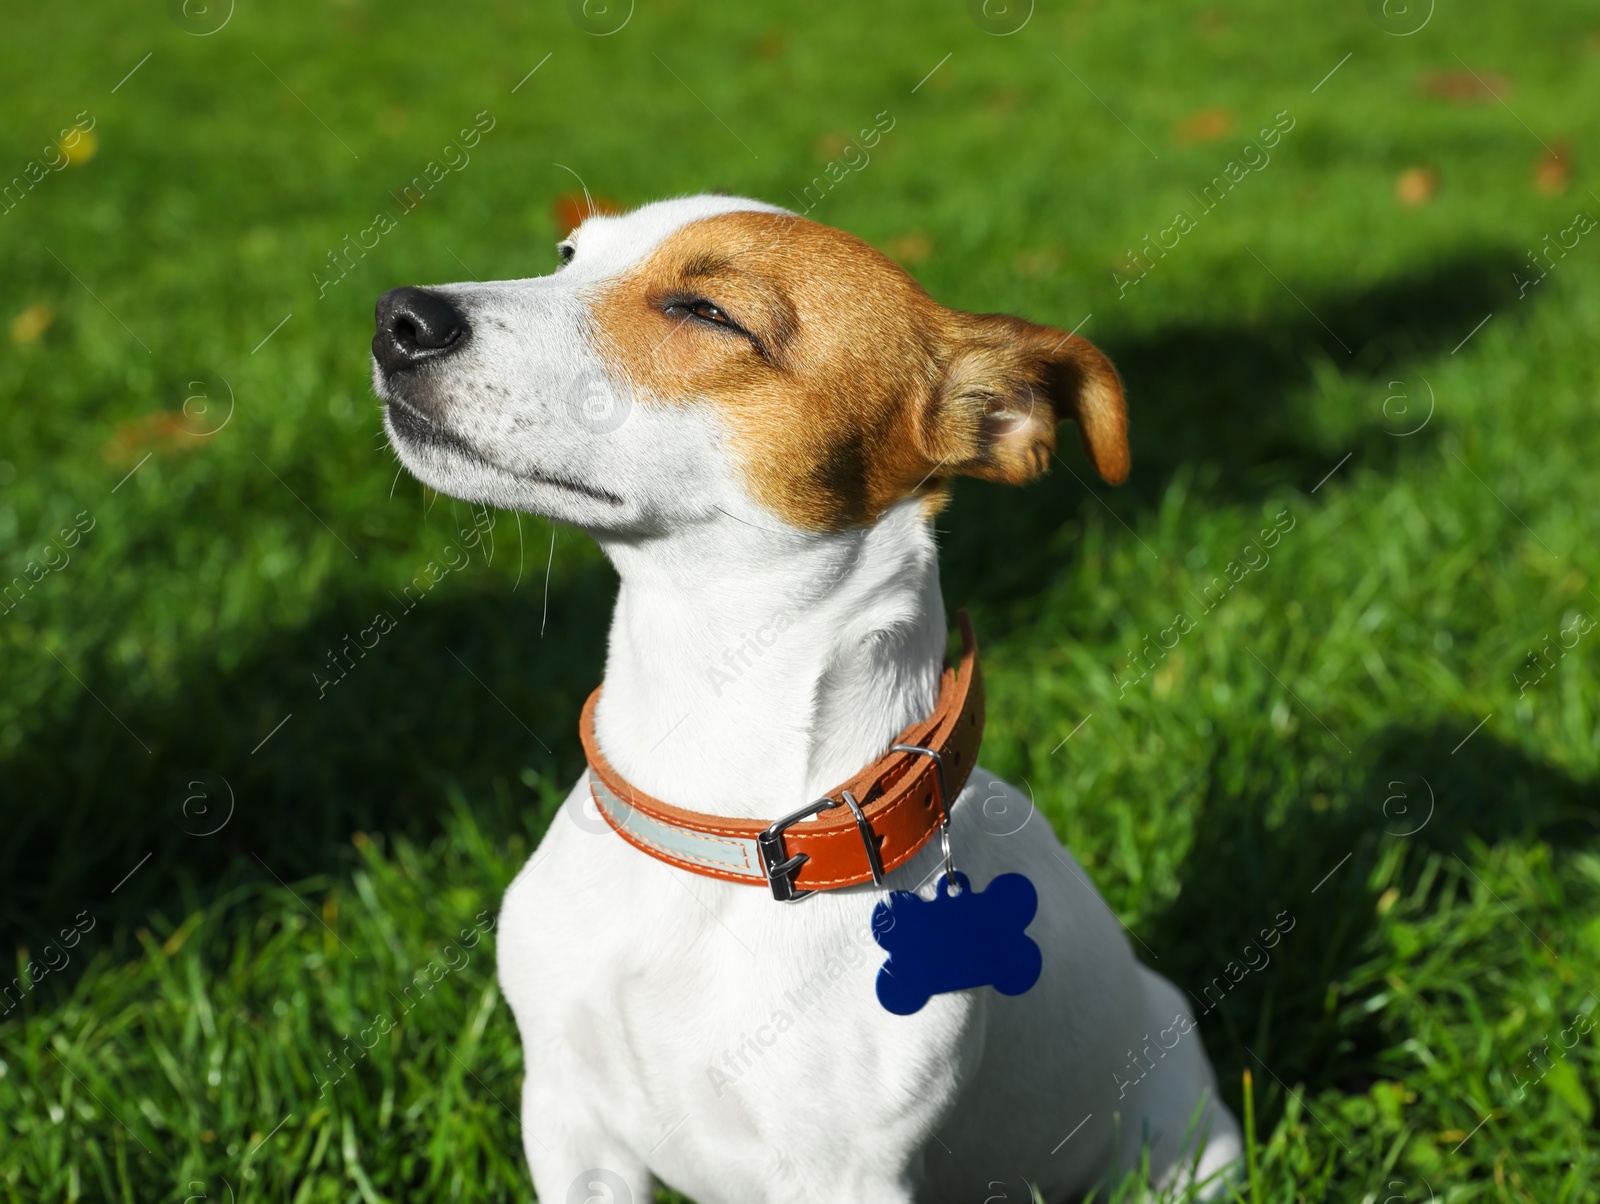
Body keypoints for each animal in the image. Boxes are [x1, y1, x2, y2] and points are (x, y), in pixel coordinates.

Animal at [371, 192, 1235, 1197]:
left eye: (710, 313)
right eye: (568, 256)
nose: (399, 315)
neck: (712, 822)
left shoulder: (842, 1175)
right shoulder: (569, 1121)